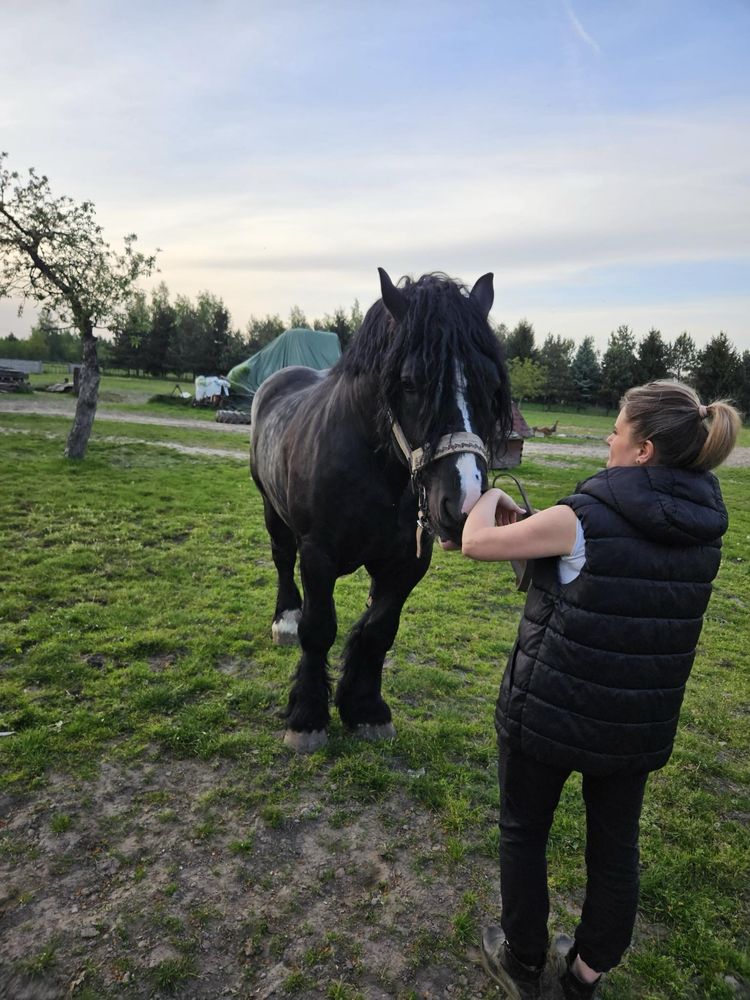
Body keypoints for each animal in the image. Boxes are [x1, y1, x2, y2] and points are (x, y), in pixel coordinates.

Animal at [250, 266, 516, 752]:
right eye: (409, 383)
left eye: (492, 386)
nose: (465, 504)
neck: (375, 470)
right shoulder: (318, 554)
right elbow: (319, 628)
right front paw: (307, 717)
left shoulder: (408, 561)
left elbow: (379, 629)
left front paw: (366, 708)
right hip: (271, 509)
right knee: (281, 560)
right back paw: (285, 621)